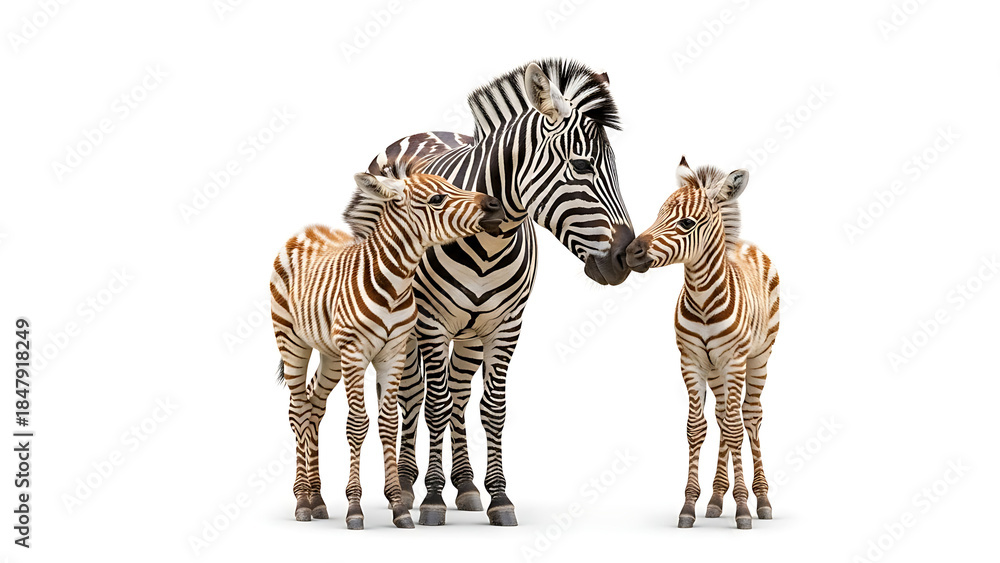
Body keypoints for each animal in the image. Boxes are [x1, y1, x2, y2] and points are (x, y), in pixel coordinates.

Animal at [270, 172, 503, 530]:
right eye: (437, 199)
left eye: (455, 186)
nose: (494, 204)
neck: (394, 282)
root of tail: (306, 229)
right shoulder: (355, 353)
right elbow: (357, 424)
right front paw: (355, 509)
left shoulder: (392, 353)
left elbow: (389, 424)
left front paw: (398, 507)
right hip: (291, 342)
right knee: (298, 410)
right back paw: (302, 503)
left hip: (330, 354)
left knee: (313, 407)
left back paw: (318, 500)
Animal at [342, 59, 635, 526]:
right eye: (582, 166)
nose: (626, 258)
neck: (490, 239)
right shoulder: (431, 323)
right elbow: (435, 405)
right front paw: (431, 498)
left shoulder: (506, 325)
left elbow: (491, 408)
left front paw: (498, 496)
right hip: (403, 320)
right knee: (413, 394)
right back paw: (405, 483)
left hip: (471, 332)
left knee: (460, 395)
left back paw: (465, 485)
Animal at [626, 157, 780, 530]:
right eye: (658, 214)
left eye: (686, 223)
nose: (629, 252)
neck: (703, 297)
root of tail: (747, 244)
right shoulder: (691, 361)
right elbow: (697, 428)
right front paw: (690, 506)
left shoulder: (735, 360)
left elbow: (737, 428)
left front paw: (743, 509)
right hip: (716, 370)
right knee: (724, 416)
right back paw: (715, 498)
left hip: (759, 356)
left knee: (749, 416)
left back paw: (762, 500)